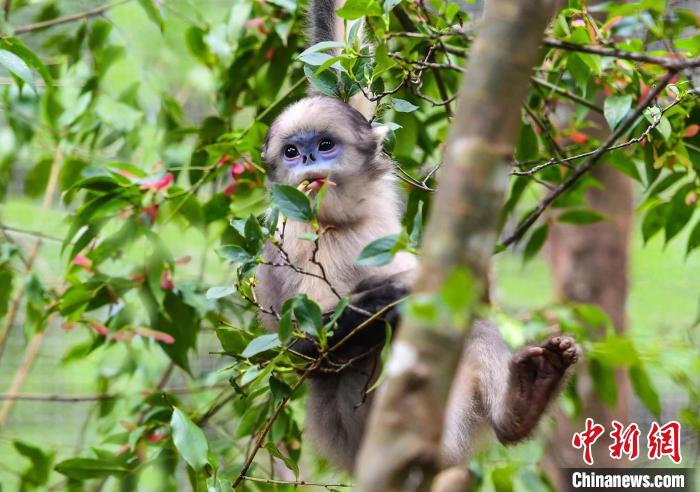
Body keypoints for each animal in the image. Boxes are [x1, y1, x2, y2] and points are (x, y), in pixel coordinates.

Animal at [252, 0, 580, 472]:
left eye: (325, 145)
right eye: (292, 152)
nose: (309, 161)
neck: (339, 221)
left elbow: (342, 43)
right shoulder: (291, 236)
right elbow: (301, 349)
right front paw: (397, 295)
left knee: (472, 324)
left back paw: (524, 402)